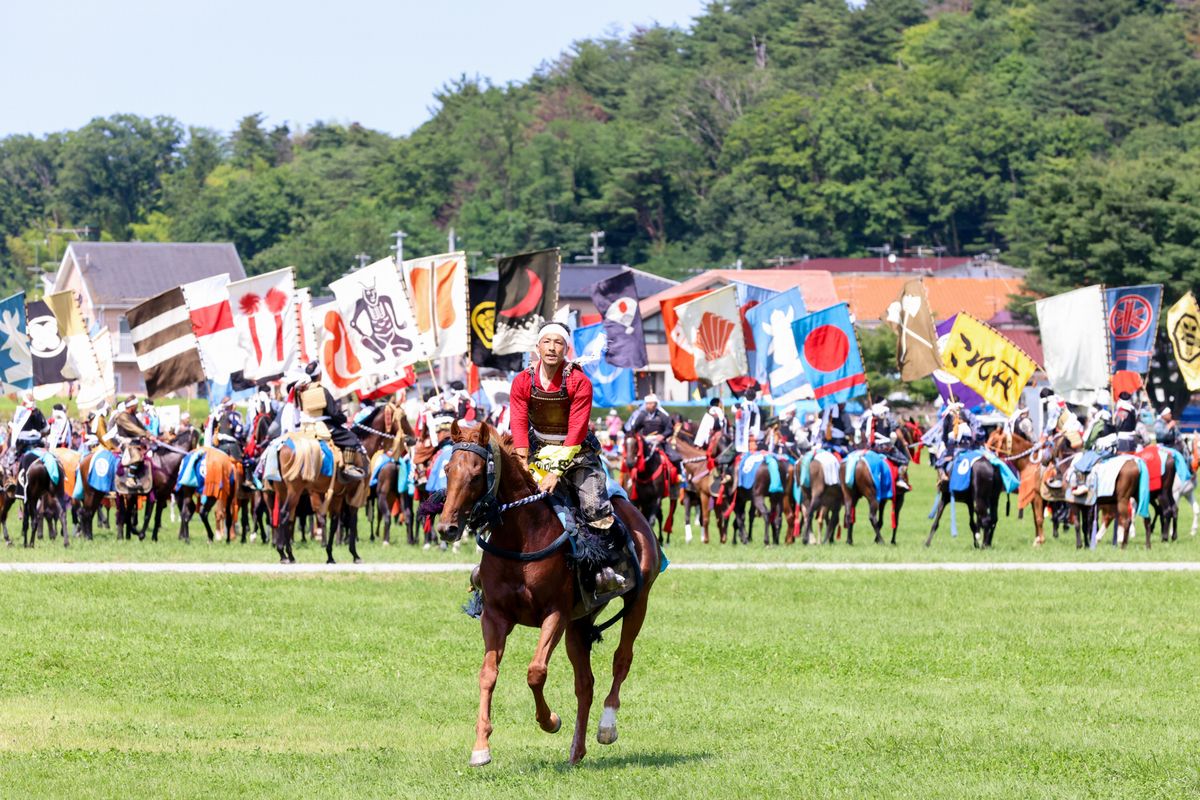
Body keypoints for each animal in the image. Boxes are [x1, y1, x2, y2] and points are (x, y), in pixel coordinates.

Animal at [434, 419, 662, 767]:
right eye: (447, 469)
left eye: (475, 475)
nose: (447, 528)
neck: (522, 536)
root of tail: (634, 514)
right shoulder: (496, 616)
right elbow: (488, 674)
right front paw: (481, 747)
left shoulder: (555, 615)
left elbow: (536, 672)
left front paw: (550, 720)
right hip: (580, 623)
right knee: (585, 684)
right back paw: (576, 751)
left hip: (638, 601)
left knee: (621, 659)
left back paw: (607, 726)